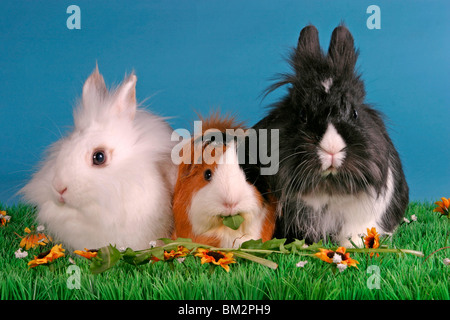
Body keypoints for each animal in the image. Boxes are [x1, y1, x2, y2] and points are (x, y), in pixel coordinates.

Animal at [253, 24, 408, 245]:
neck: (328, 186)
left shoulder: (361, 219)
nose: (332, 148)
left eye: (354, 113)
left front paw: (355, 246)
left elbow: (354, 235)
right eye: (302, 114)